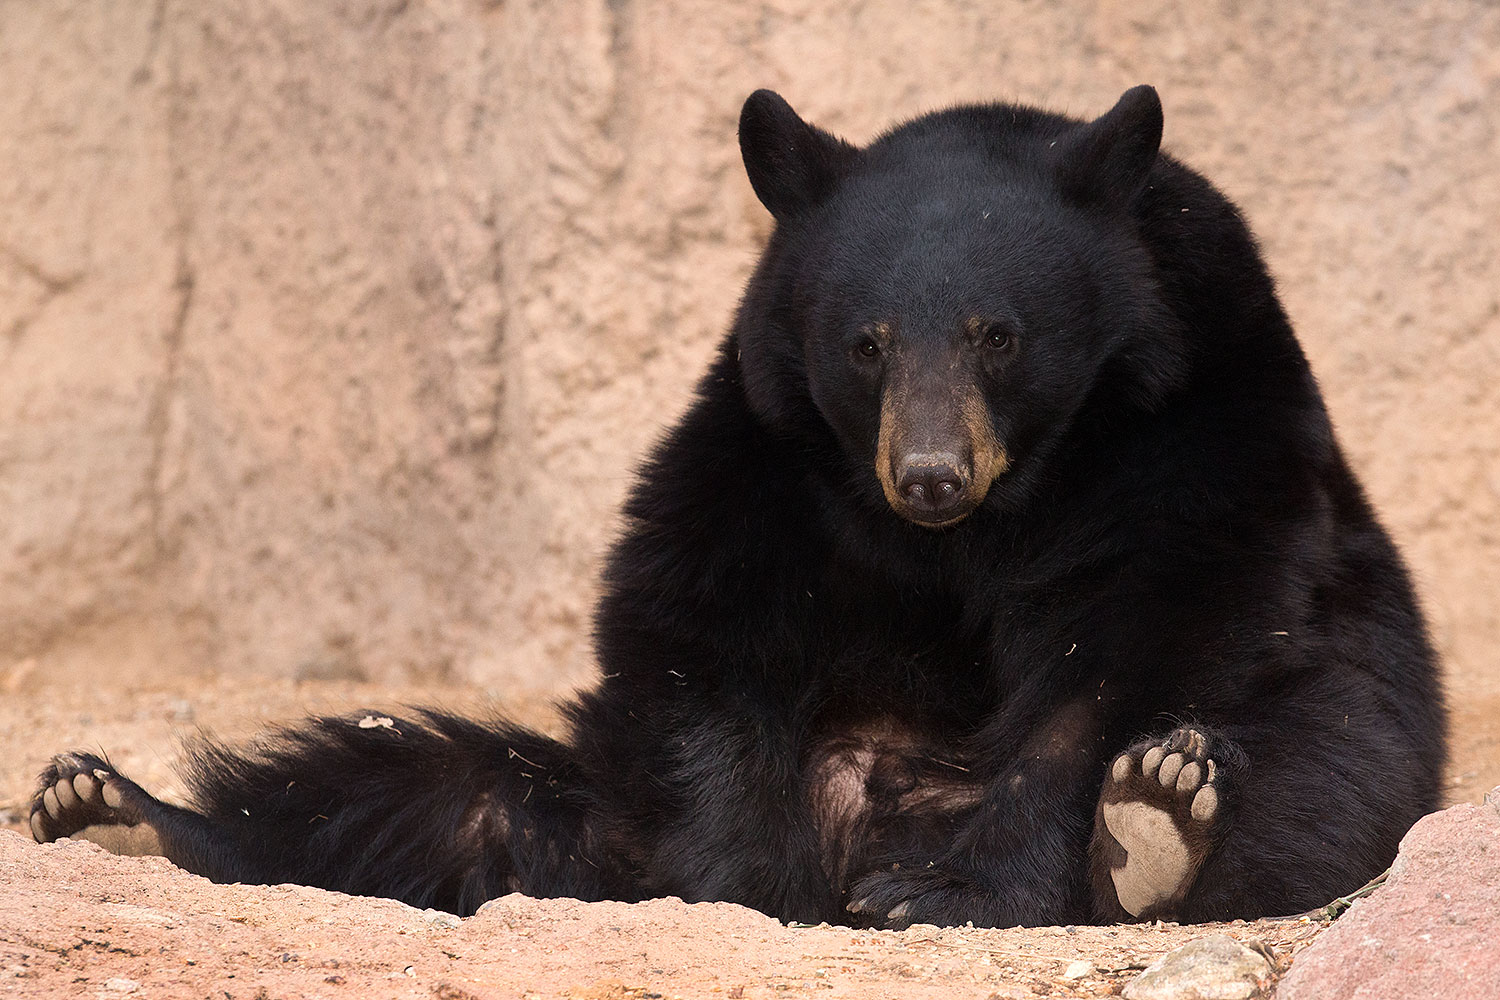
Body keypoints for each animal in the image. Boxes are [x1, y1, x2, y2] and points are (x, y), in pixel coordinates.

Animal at [29, 85, 1446, 928]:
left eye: (998, 335)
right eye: (868, 344)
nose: (931, 475)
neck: (997, 508)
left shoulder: (1199, 408)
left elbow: (1151, 623)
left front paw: (959, 885)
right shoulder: (770, 431)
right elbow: (697, 612)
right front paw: (740, 881)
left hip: (1358, 728)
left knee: (1322, 777)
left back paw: (1154, 821)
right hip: (586, 781)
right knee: (402, 790)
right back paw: (113, 815)